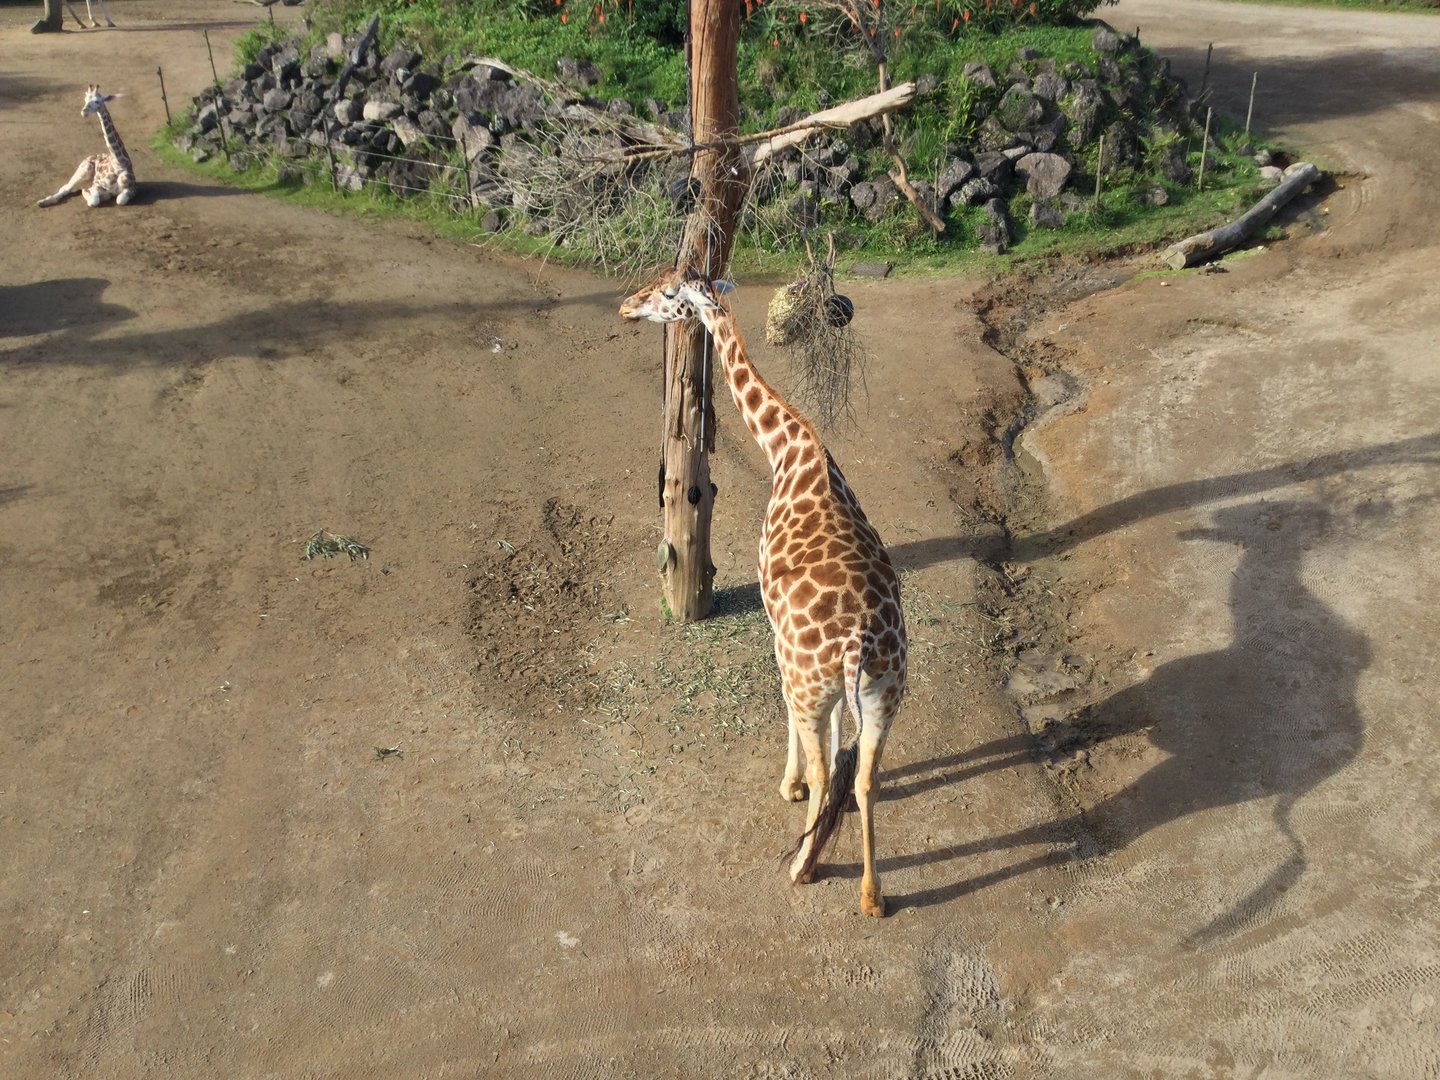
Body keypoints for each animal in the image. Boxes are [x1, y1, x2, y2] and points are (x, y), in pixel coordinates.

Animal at [621, 267, 907, 918]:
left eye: (667, 292)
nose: (625, 306)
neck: (790, 451)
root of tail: (859, 642)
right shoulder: (833, 688)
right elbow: (840, 739)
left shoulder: (779, 636)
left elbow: (791, 718)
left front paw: (789, 784)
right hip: (886, 692)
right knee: (865, 778)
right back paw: (871, 896)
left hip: (819, 681)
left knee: (831, 771)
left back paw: (803, 866)